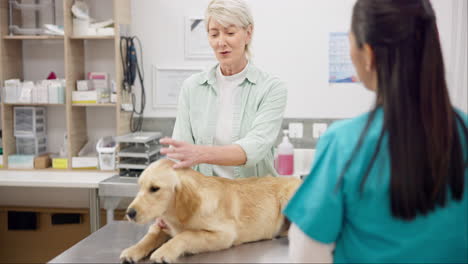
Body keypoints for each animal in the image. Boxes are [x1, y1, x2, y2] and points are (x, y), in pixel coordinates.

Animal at [119, 158, 300, 262]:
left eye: (154, 188)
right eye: (140, 186)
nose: (130, 213)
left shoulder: (225, 235)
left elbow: (186, 235)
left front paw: (164, 251)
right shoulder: (161, 225)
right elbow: (149, 237)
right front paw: (133, 250)